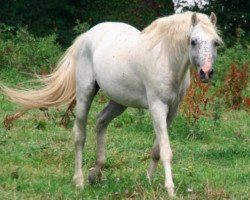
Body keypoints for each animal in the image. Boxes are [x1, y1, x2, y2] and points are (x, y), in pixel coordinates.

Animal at [1, 11, 221, 197]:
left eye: (215, 43)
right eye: (193, 41)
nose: (206, 73)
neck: (165, 58)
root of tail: (87, 36)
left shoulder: (172, 111)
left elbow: (157, 150)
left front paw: (148, 181)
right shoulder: (157, 106)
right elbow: (166, 150)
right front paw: (170, 189)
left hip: (119, 102)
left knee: (100, 122)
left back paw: (96, 173)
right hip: (85, 93)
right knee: (79, 134)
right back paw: (79, 180)